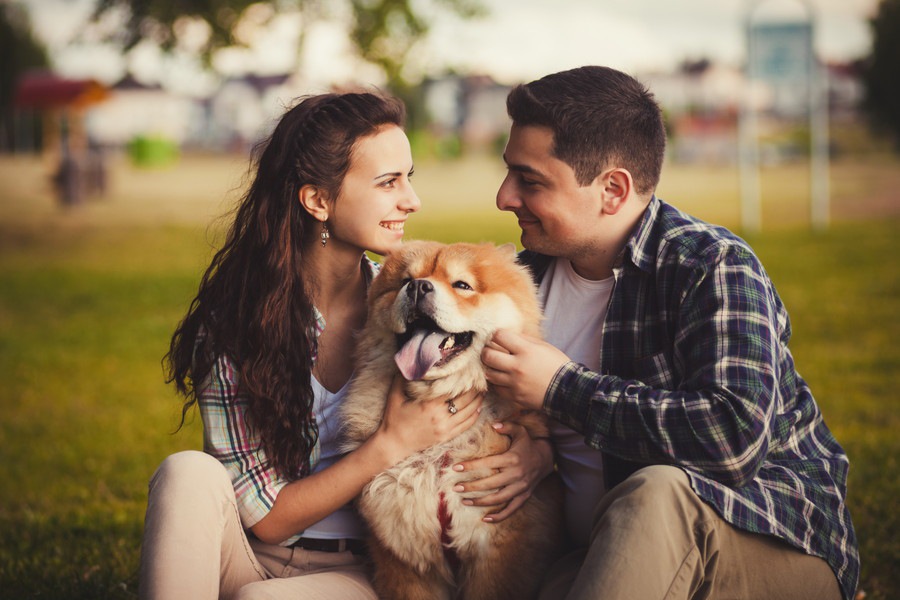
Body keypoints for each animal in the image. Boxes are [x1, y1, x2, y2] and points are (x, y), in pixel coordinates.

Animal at [340, 240, 560, 600]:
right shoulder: (404, 557)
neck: (439, 454)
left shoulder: (497, 556)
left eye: (462, 285)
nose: (418, 287)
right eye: (405, 281)